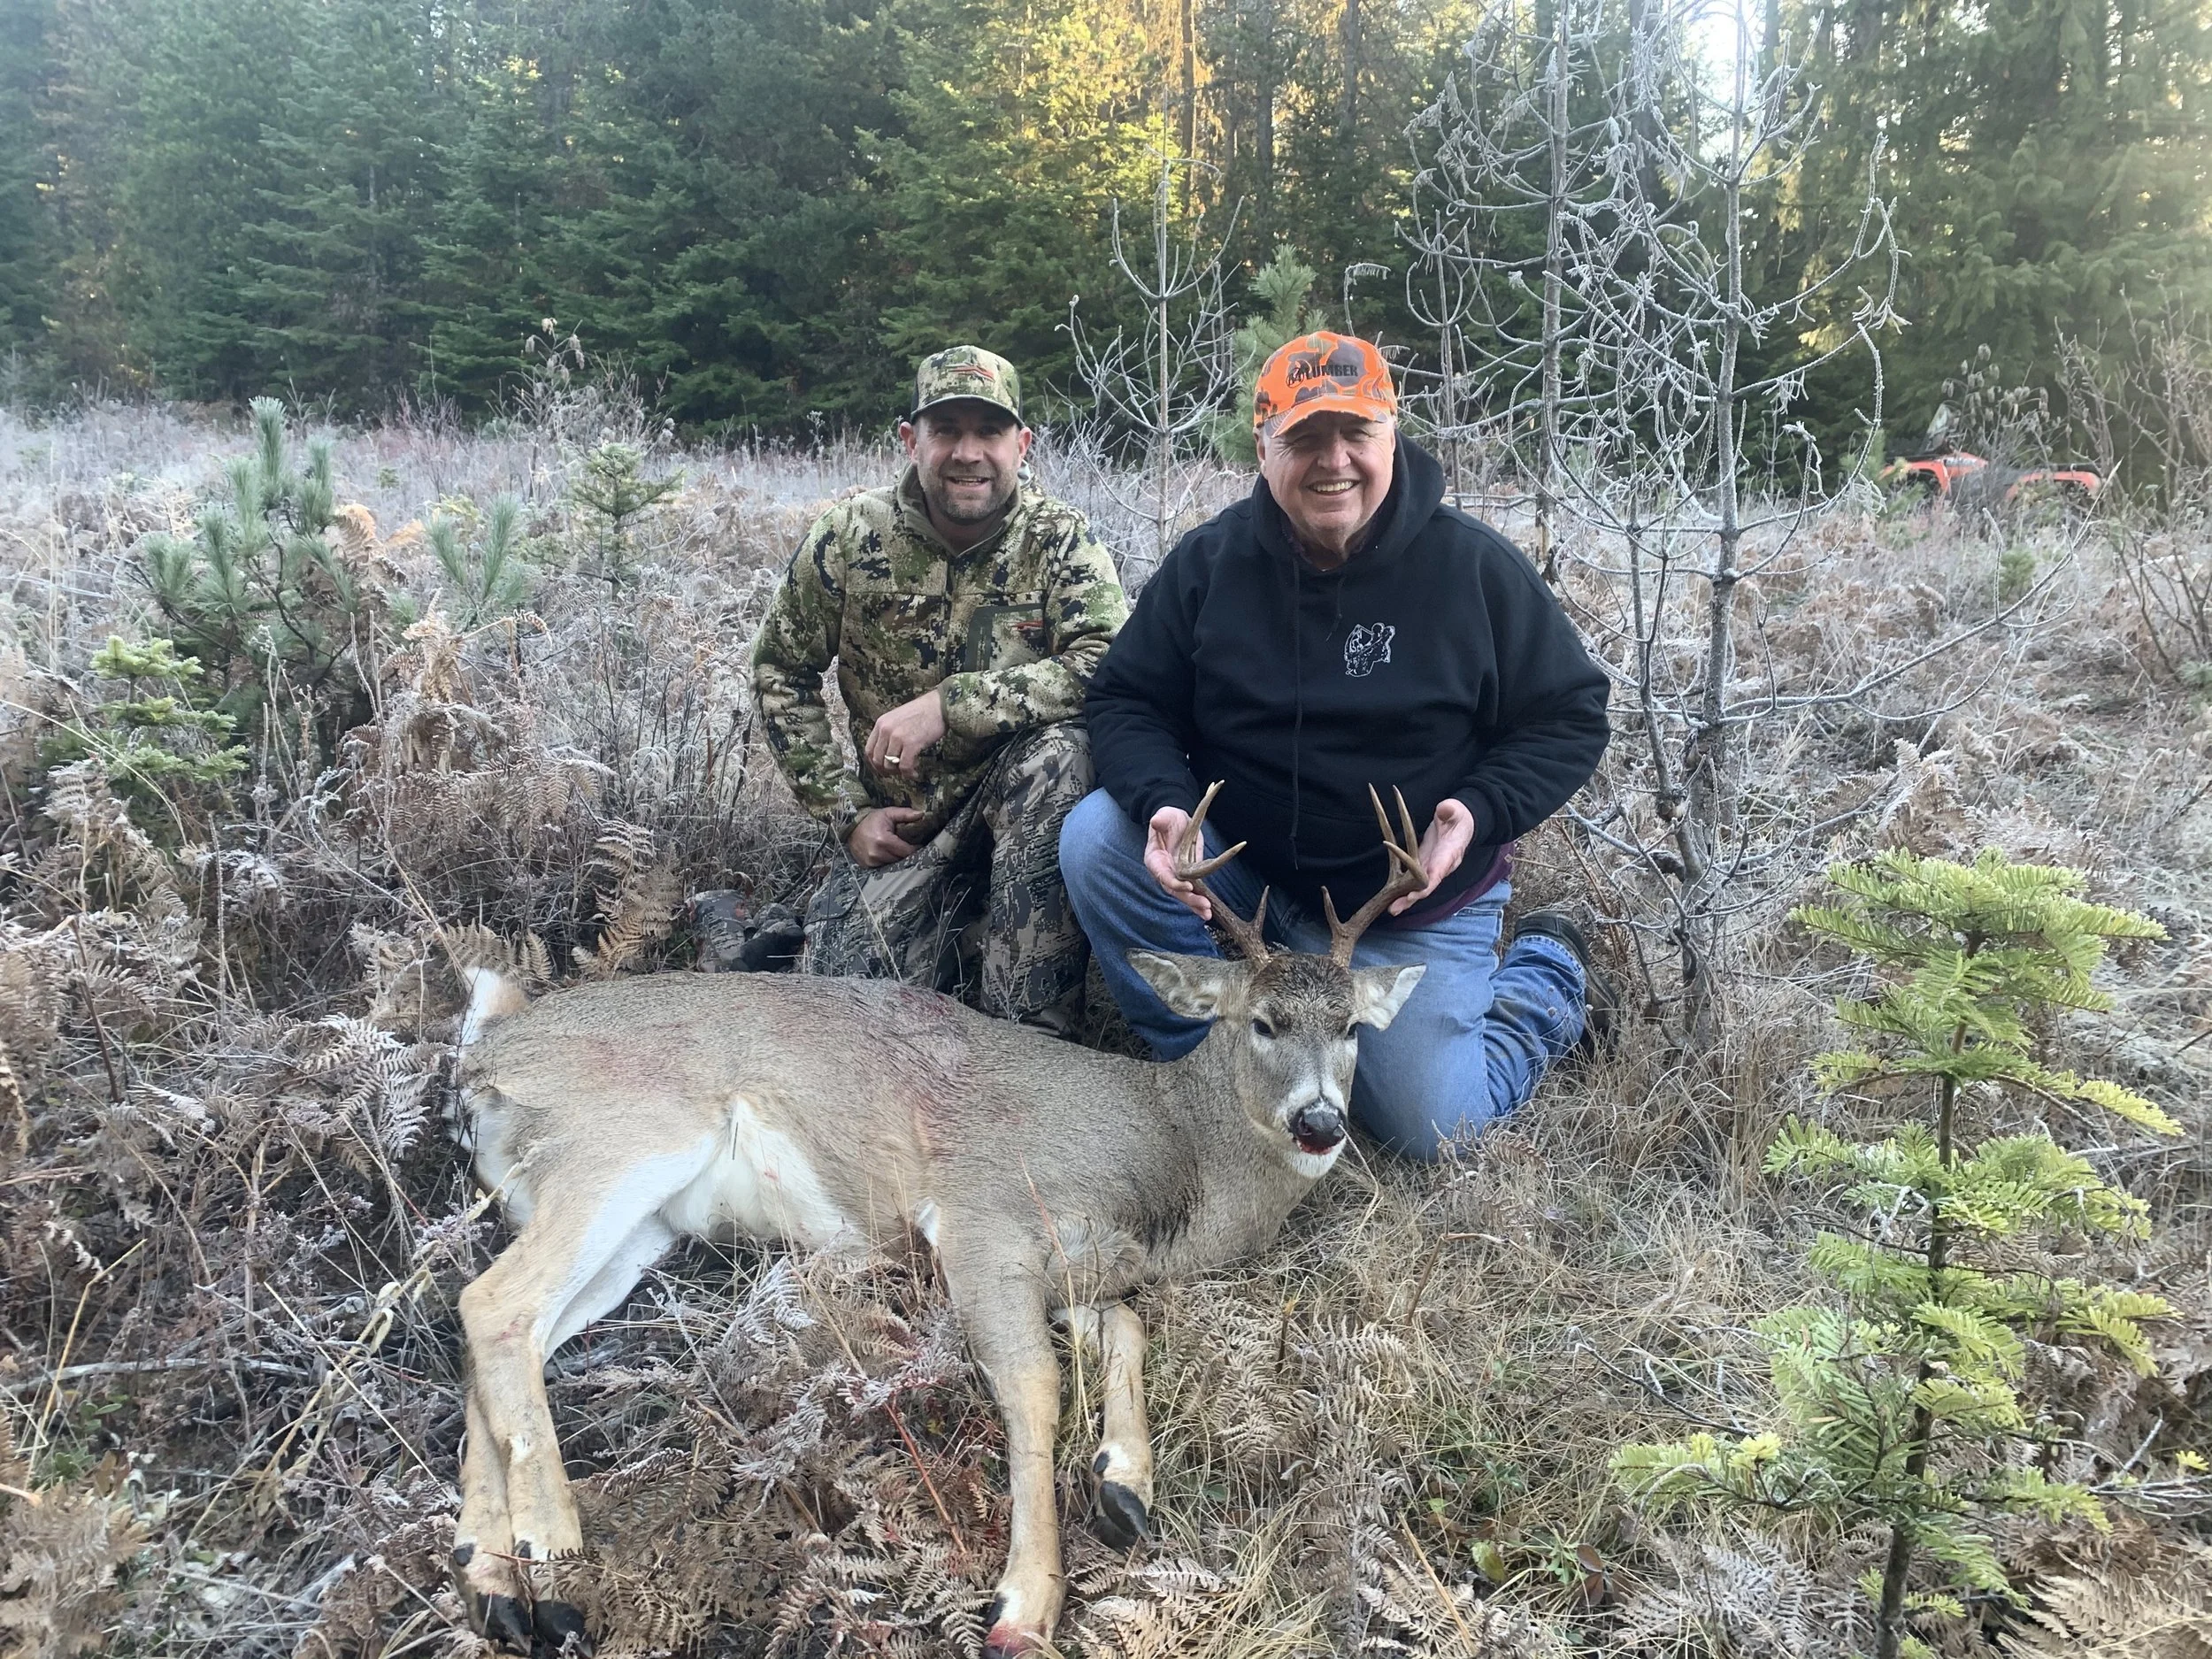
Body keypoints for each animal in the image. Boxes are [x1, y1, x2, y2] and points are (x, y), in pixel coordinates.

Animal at [446, 783, 1429, 1657]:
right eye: (1262, 1021)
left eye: (1352, 1028)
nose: (1320, 1122)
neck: (1169, 1148)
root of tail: (488, 1054)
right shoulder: (983, 1213)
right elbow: (1034, 1381)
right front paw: (1025, 1604)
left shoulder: (1078, 1264)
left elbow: (1126, 1325)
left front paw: (1124, 1484)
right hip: (623, 1142)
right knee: (495, 1302)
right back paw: (554, 1560)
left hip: (635, 1226)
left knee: (506, 1333)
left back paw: (493, 1580)